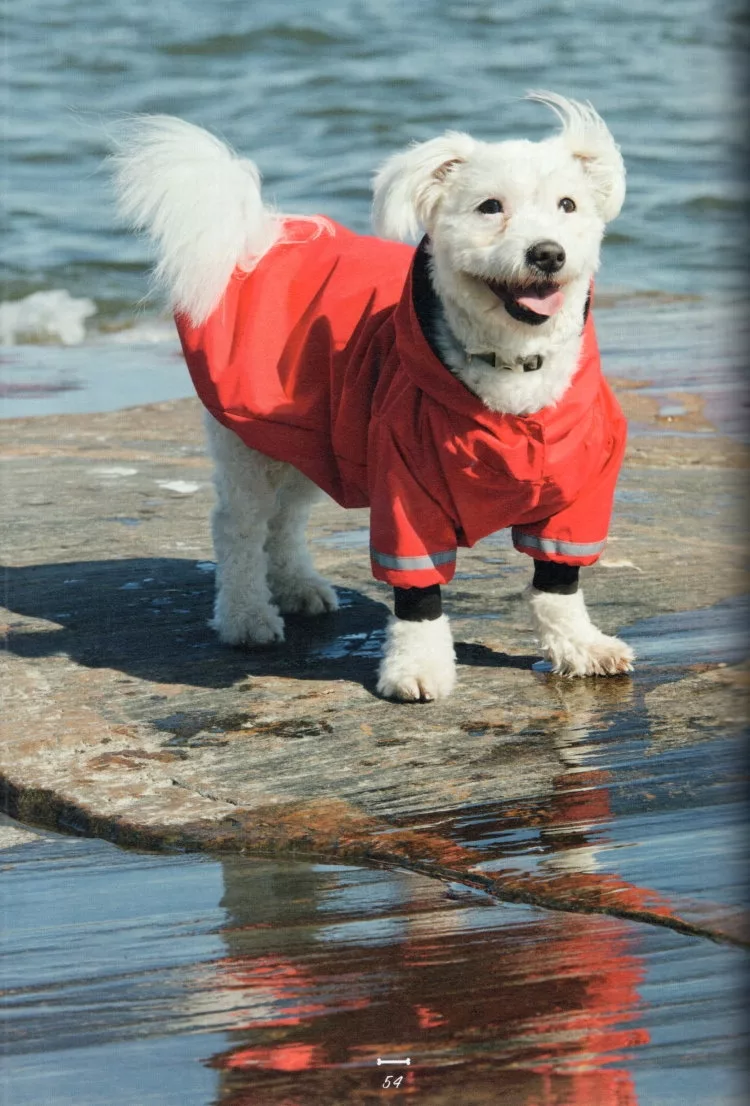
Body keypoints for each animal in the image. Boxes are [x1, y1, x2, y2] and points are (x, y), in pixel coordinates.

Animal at [114, 92, 637, 698]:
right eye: (490, 207)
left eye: (568, 205)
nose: (547, 254)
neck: (510, 368)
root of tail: (258, 237)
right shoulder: (404, 488)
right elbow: (417, 593)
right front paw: (416, 667)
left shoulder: (578, 490)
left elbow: (558, 583)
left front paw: (579, 645)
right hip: (250, 442)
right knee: (239, 526)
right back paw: (247, 615)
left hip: (312, 437)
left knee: (285, 520)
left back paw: (297, 587)